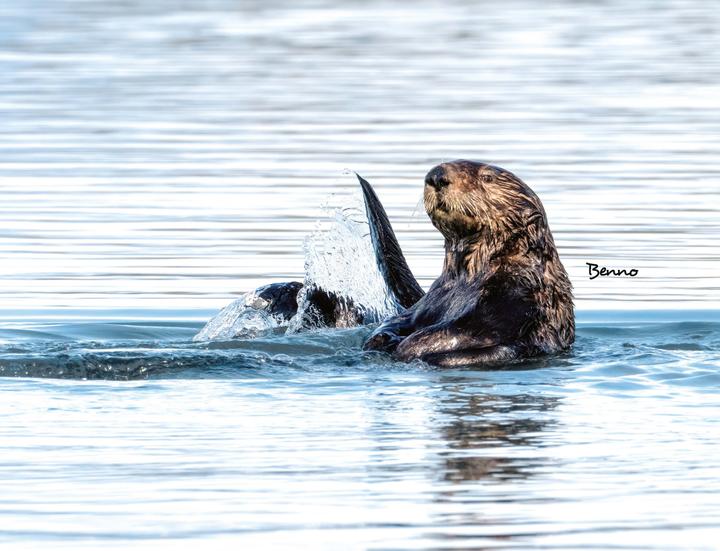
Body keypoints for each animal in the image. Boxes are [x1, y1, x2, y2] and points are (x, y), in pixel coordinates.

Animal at [363, 160, 574, 367]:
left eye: (487, 178)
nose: (437, 176)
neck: (467, 278)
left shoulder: (519, 293)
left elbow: (477, 328)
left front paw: (410, 345)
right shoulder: (430, 300)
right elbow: (400, 319)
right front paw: (383, 338)